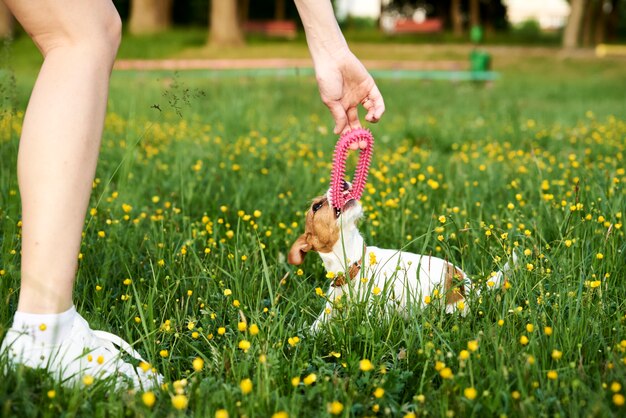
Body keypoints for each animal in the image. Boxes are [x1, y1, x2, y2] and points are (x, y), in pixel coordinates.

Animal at [288, 181, 512, 332]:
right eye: (316, 206)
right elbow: (312, 331)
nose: (343, 182)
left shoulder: (377, 315)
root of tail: (471, 285)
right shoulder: (329, 311)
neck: (353, 265)